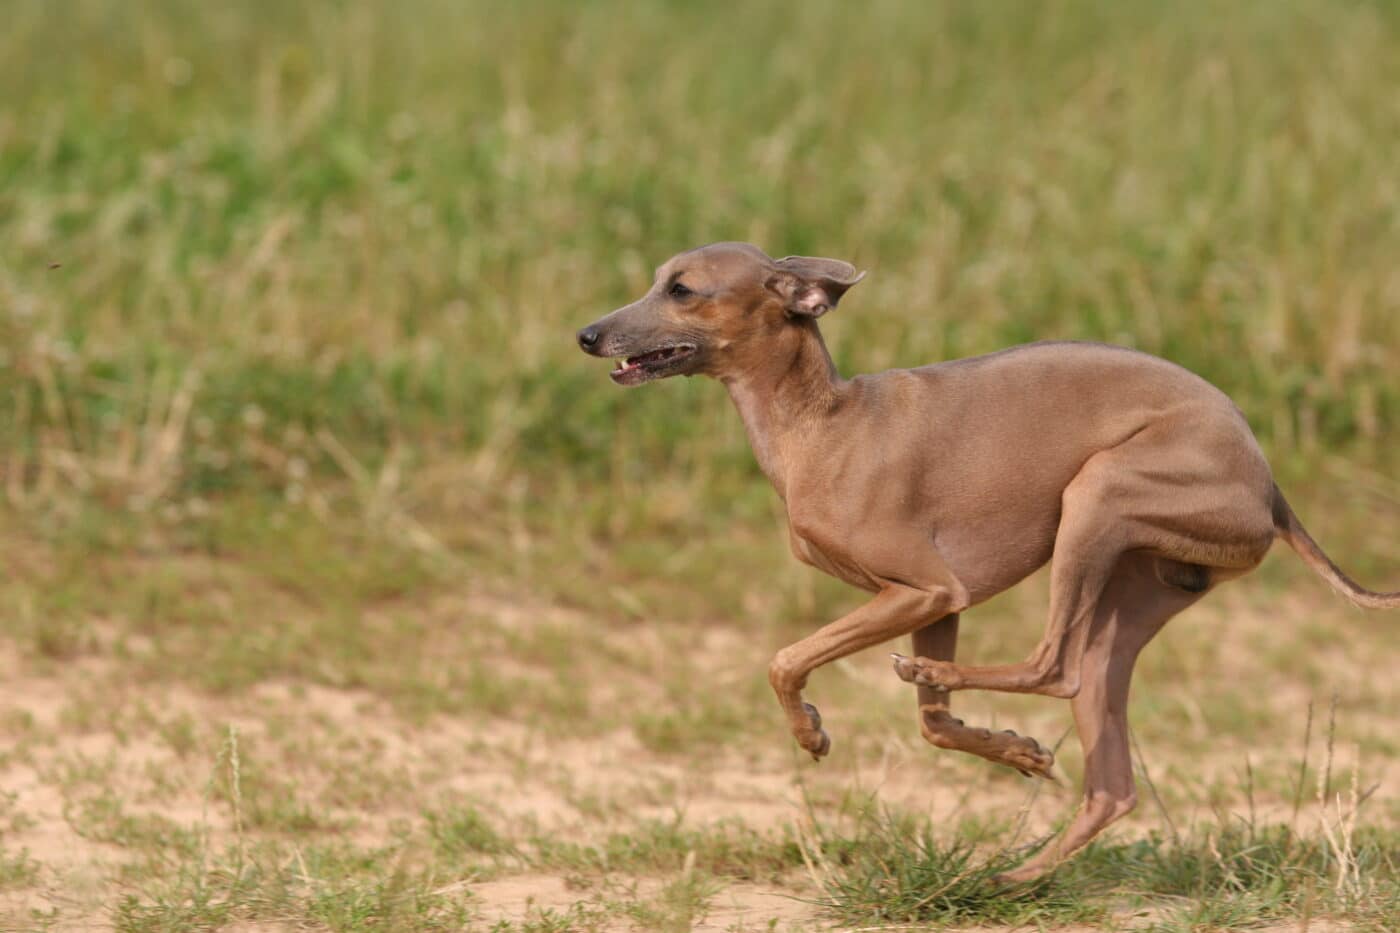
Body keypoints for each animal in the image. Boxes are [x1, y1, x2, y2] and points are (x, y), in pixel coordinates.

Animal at [574, 240, 1394, 879]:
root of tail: (1270, 487)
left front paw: (810, 731)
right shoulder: (937, 604)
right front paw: (1016, 751)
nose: (586, 334)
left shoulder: (928, 589)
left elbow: (785, 660)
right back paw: (1010, 877)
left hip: (1096, 497)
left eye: (683, 289)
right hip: (1131, 596)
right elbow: (936, 726)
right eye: (657, 278)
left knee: (1051, 664)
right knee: (1110, 777)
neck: (823, 425)